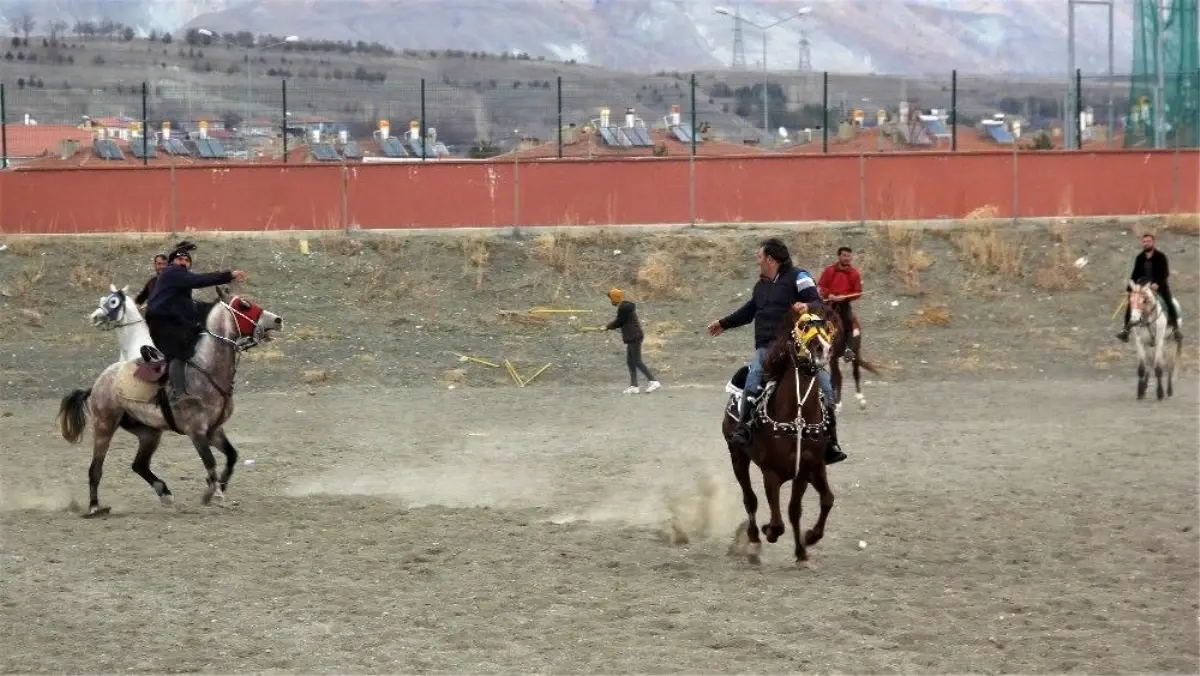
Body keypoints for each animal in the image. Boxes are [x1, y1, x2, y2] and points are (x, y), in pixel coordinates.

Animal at [720, 309, 835, 564]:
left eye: (827, 329)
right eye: (803, 327)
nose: (822, 350)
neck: (797, 418)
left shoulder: (804, 470)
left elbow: (796, 510)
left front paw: (803, 547)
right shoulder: (770, 473)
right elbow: (777, 521)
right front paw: (769, 532)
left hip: (814, 468)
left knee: (824, 499)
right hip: (737, 456)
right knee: (749, 499)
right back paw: (753, 538)